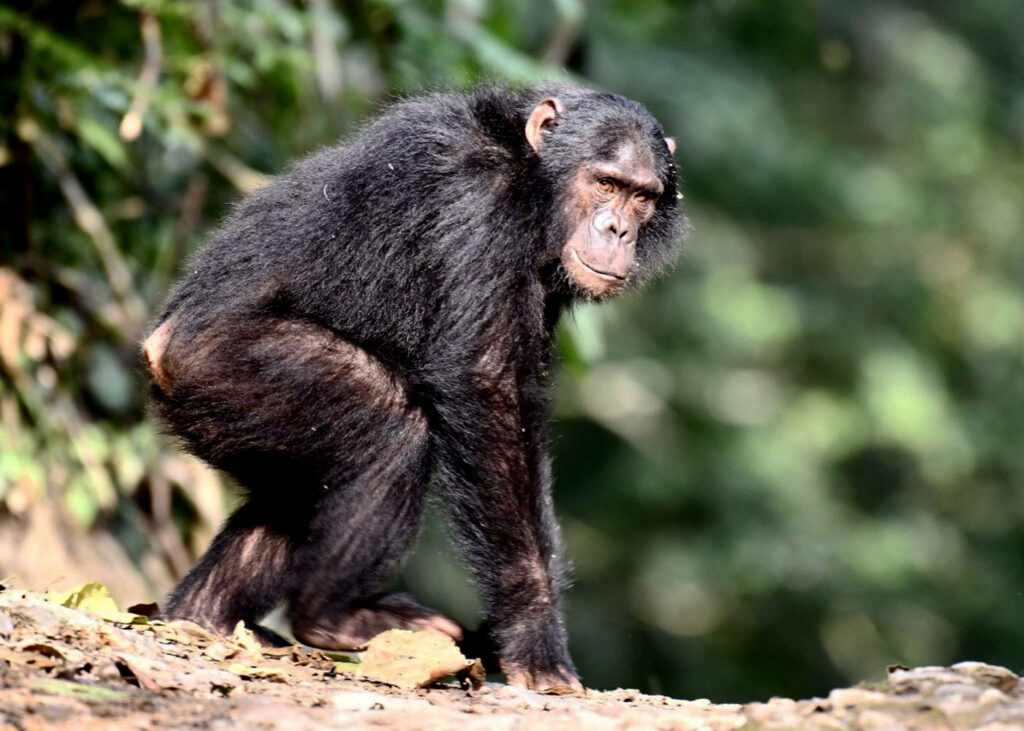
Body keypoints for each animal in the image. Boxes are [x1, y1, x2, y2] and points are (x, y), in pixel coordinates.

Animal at [142, 83, 688, 688]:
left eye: (642, 197)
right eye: (605, 184)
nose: (617, 229)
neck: (531, 179)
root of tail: (157, 349)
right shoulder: (480, 206)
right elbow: (488, 388)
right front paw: (535, 639)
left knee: (293, 495)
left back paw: (207, 618)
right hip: (226, 365)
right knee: (392, 428)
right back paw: (332, 615)